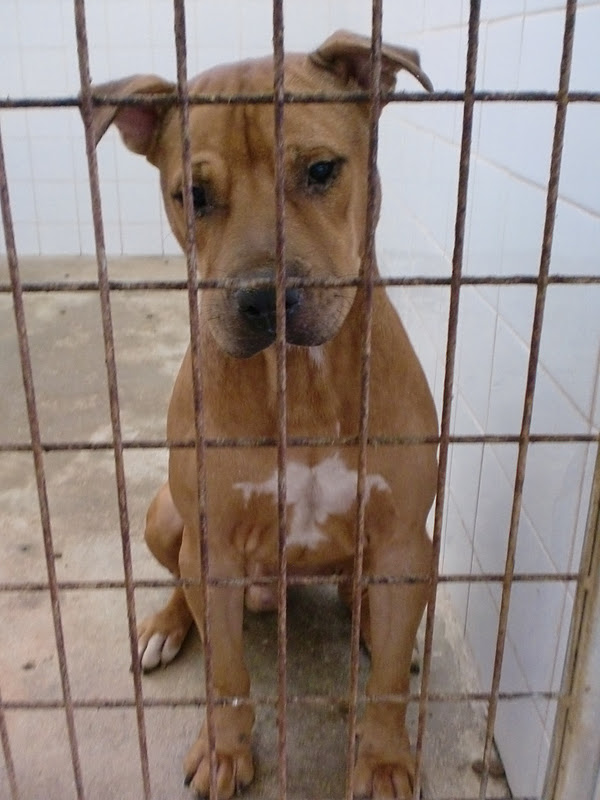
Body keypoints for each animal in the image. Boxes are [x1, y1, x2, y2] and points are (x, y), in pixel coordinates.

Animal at [90, 31, 437, 799]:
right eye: (193, 195)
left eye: (320, 170)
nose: (262, 296)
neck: (297, 380)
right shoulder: (213, 549)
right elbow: (226, 673)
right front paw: (224, 751)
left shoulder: (404, 538)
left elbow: (388, 684)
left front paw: (384, 759)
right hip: (166, 518)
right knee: (181, 586)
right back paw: (163, 626)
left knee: (367, 598)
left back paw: (370, 621)